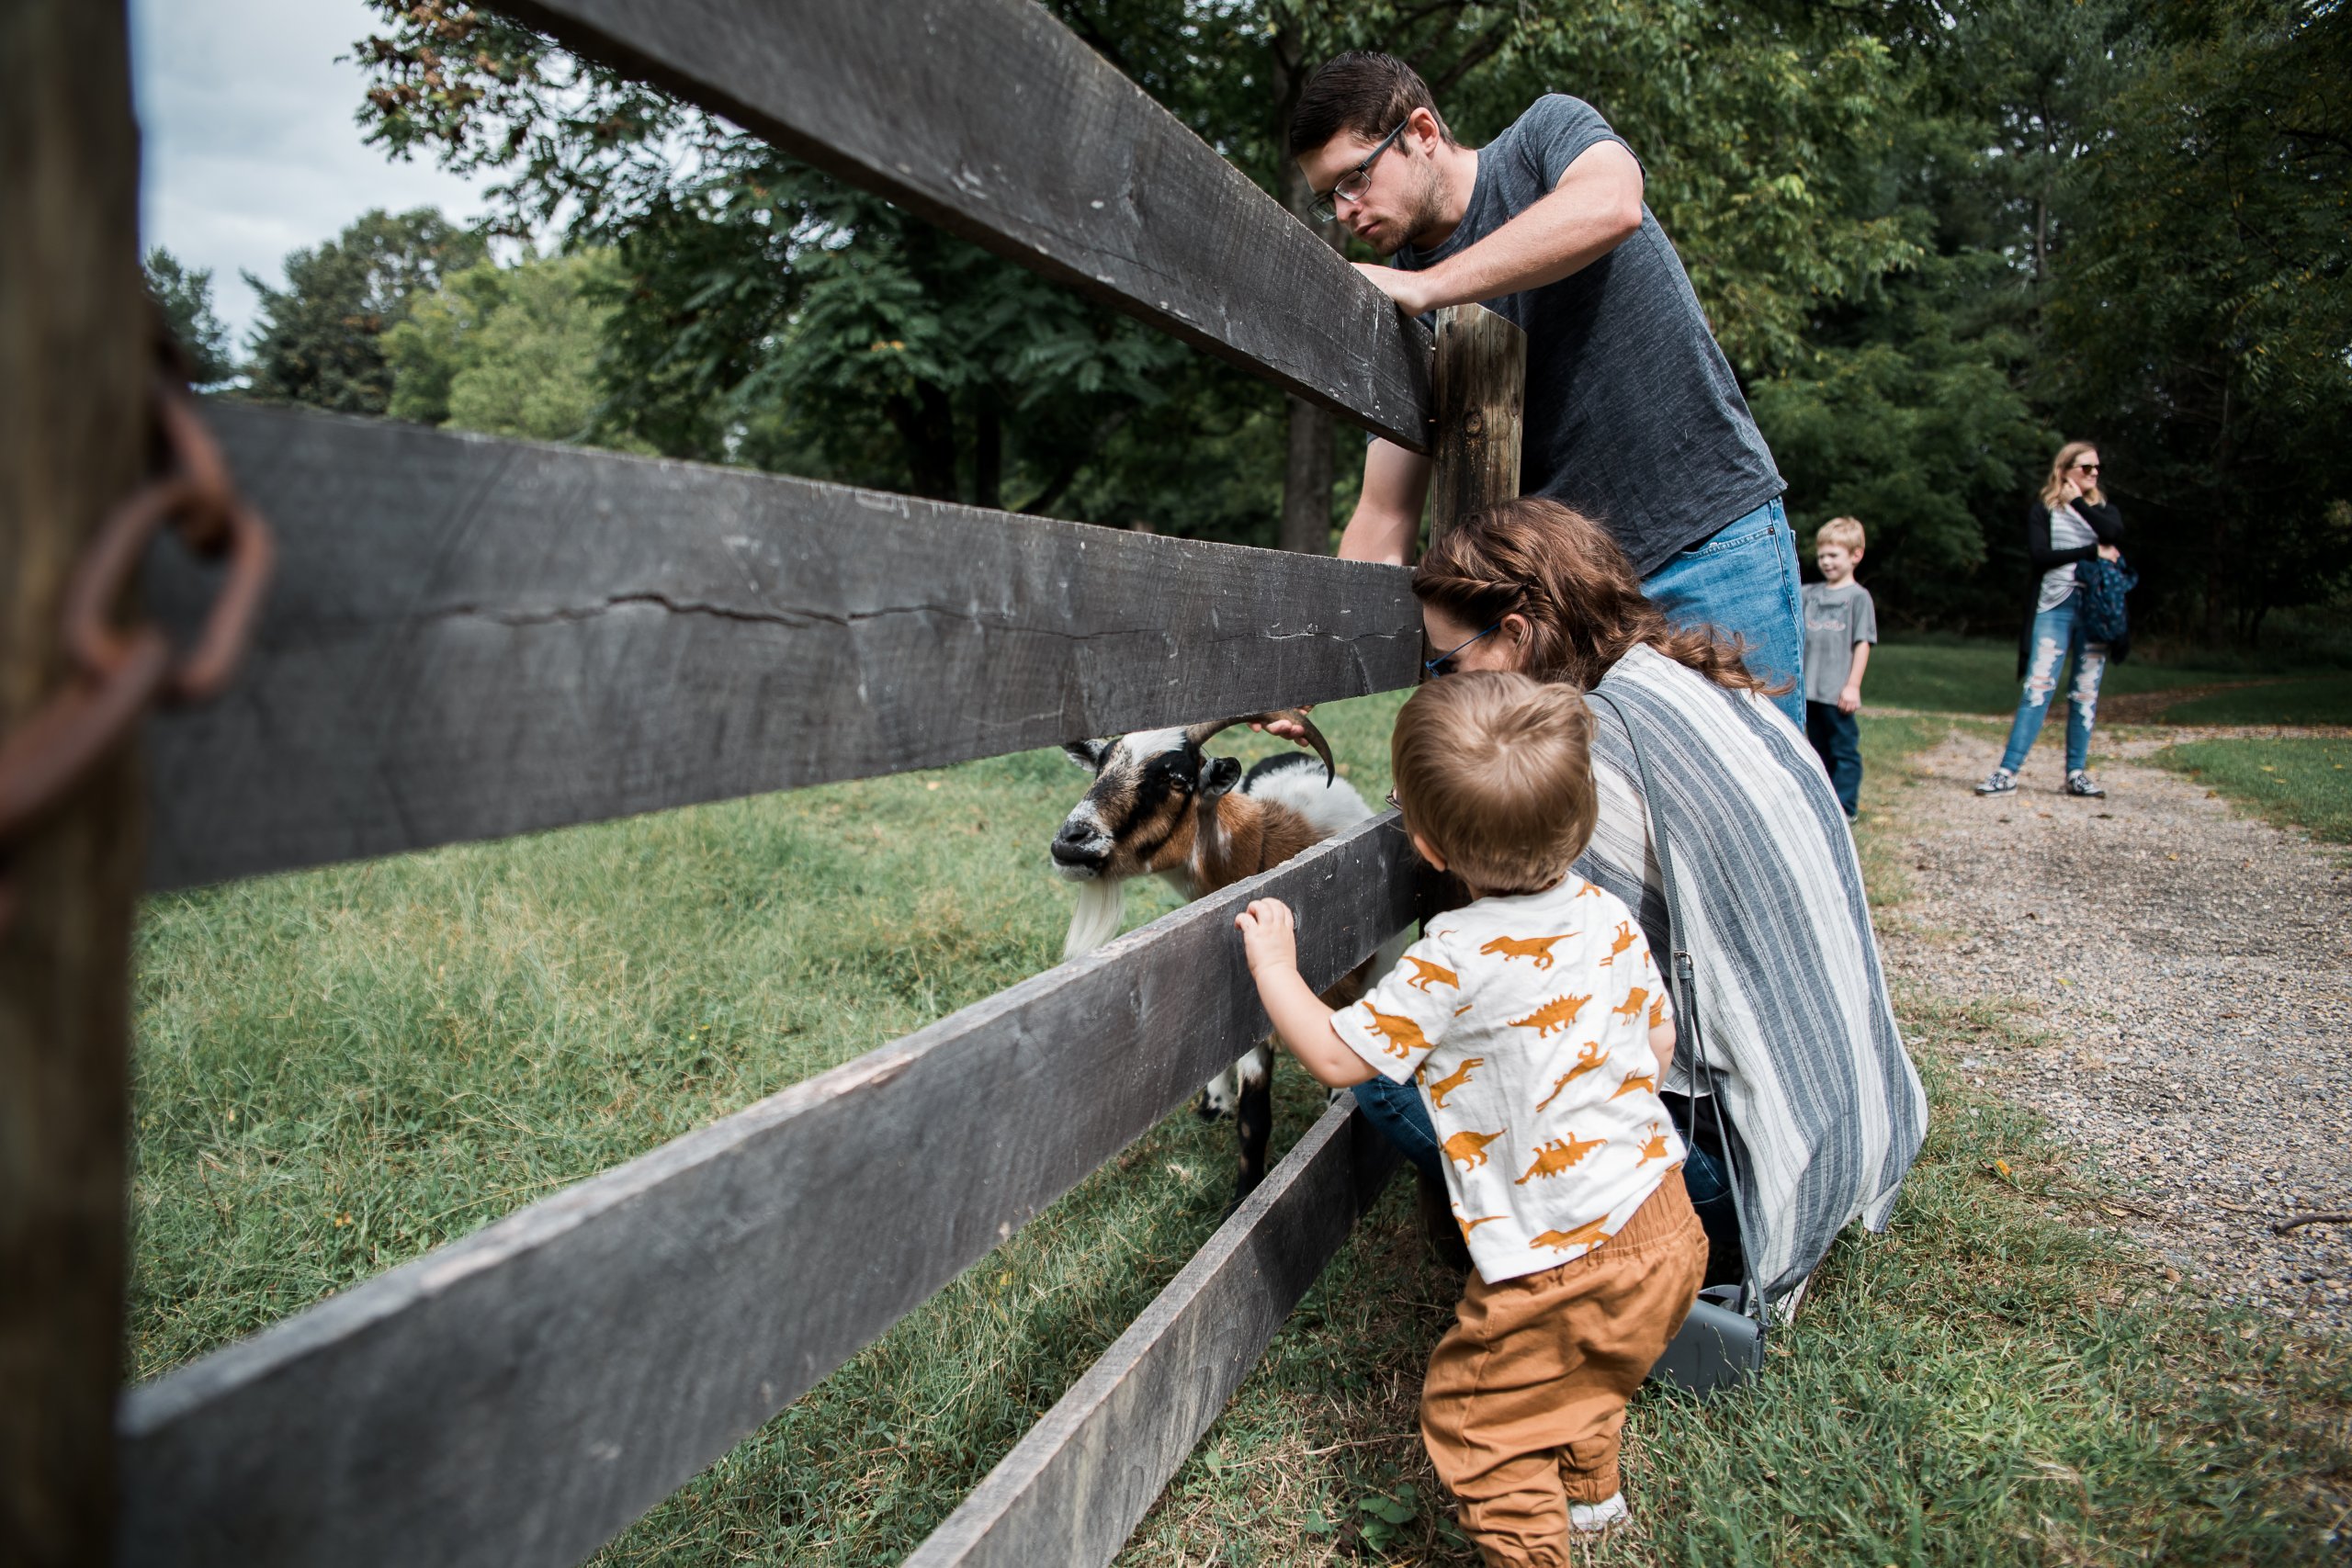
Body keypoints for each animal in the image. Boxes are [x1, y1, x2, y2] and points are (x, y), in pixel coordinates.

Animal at [1048, 709, 1392, 1203]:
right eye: (1100, 768)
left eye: (1175, 778)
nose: (1070, 841)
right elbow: (1253, 1120)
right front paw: (1245, 1199)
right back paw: (1215, 1100)